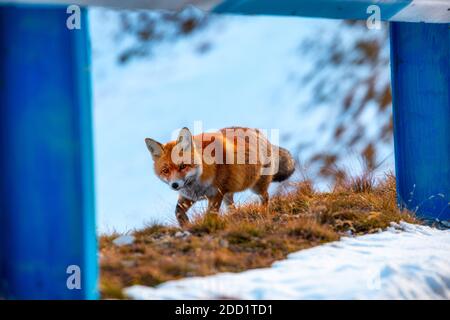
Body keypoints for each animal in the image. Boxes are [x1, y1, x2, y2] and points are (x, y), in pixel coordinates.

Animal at [144, 126, 298, 226]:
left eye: (182, 166)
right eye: (165, 170)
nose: (175, 185)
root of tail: (258, 132)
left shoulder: (216, 194)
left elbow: (210, 216)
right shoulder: (189, 196)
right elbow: (178, 212)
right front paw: (186, 225)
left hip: (256, 187)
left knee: (265, 197)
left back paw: (262, 212)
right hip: (228, 195)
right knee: (232, 207)